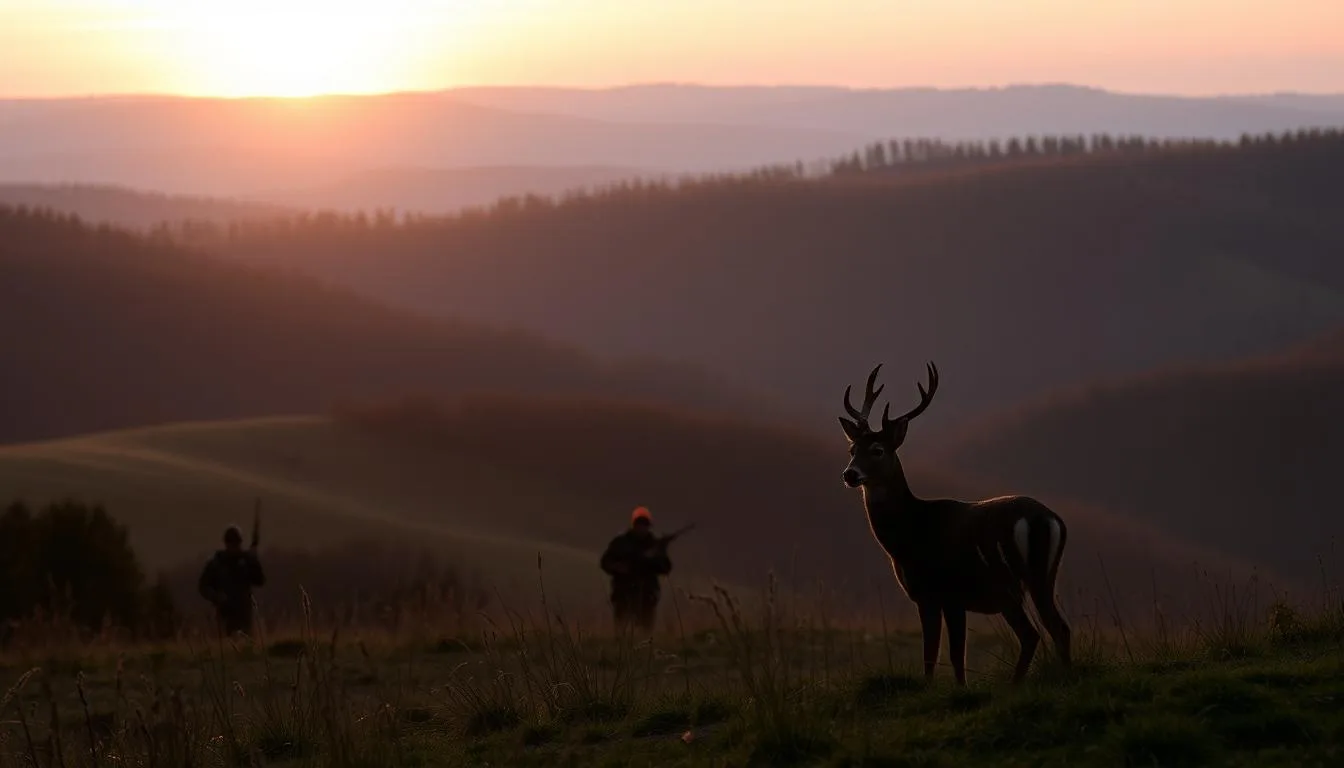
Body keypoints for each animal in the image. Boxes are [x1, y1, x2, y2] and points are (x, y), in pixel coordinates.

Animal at [838, 363, 1069, 688]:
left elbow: (936, 652)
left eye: (877, 450)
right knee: (1058, 628)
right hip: (1042, 575)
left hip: (1010, 580)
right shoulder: (953, 599)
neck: (908, 535)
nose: (850, 474)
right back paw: (1063, 676)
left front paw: (936, 689)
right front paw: (960, 688)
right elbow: (955, 653)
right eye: (851, 450)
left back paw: (1016, 685)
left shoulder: (937, 591)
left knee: (1034, 632)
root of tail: (1046, 519)